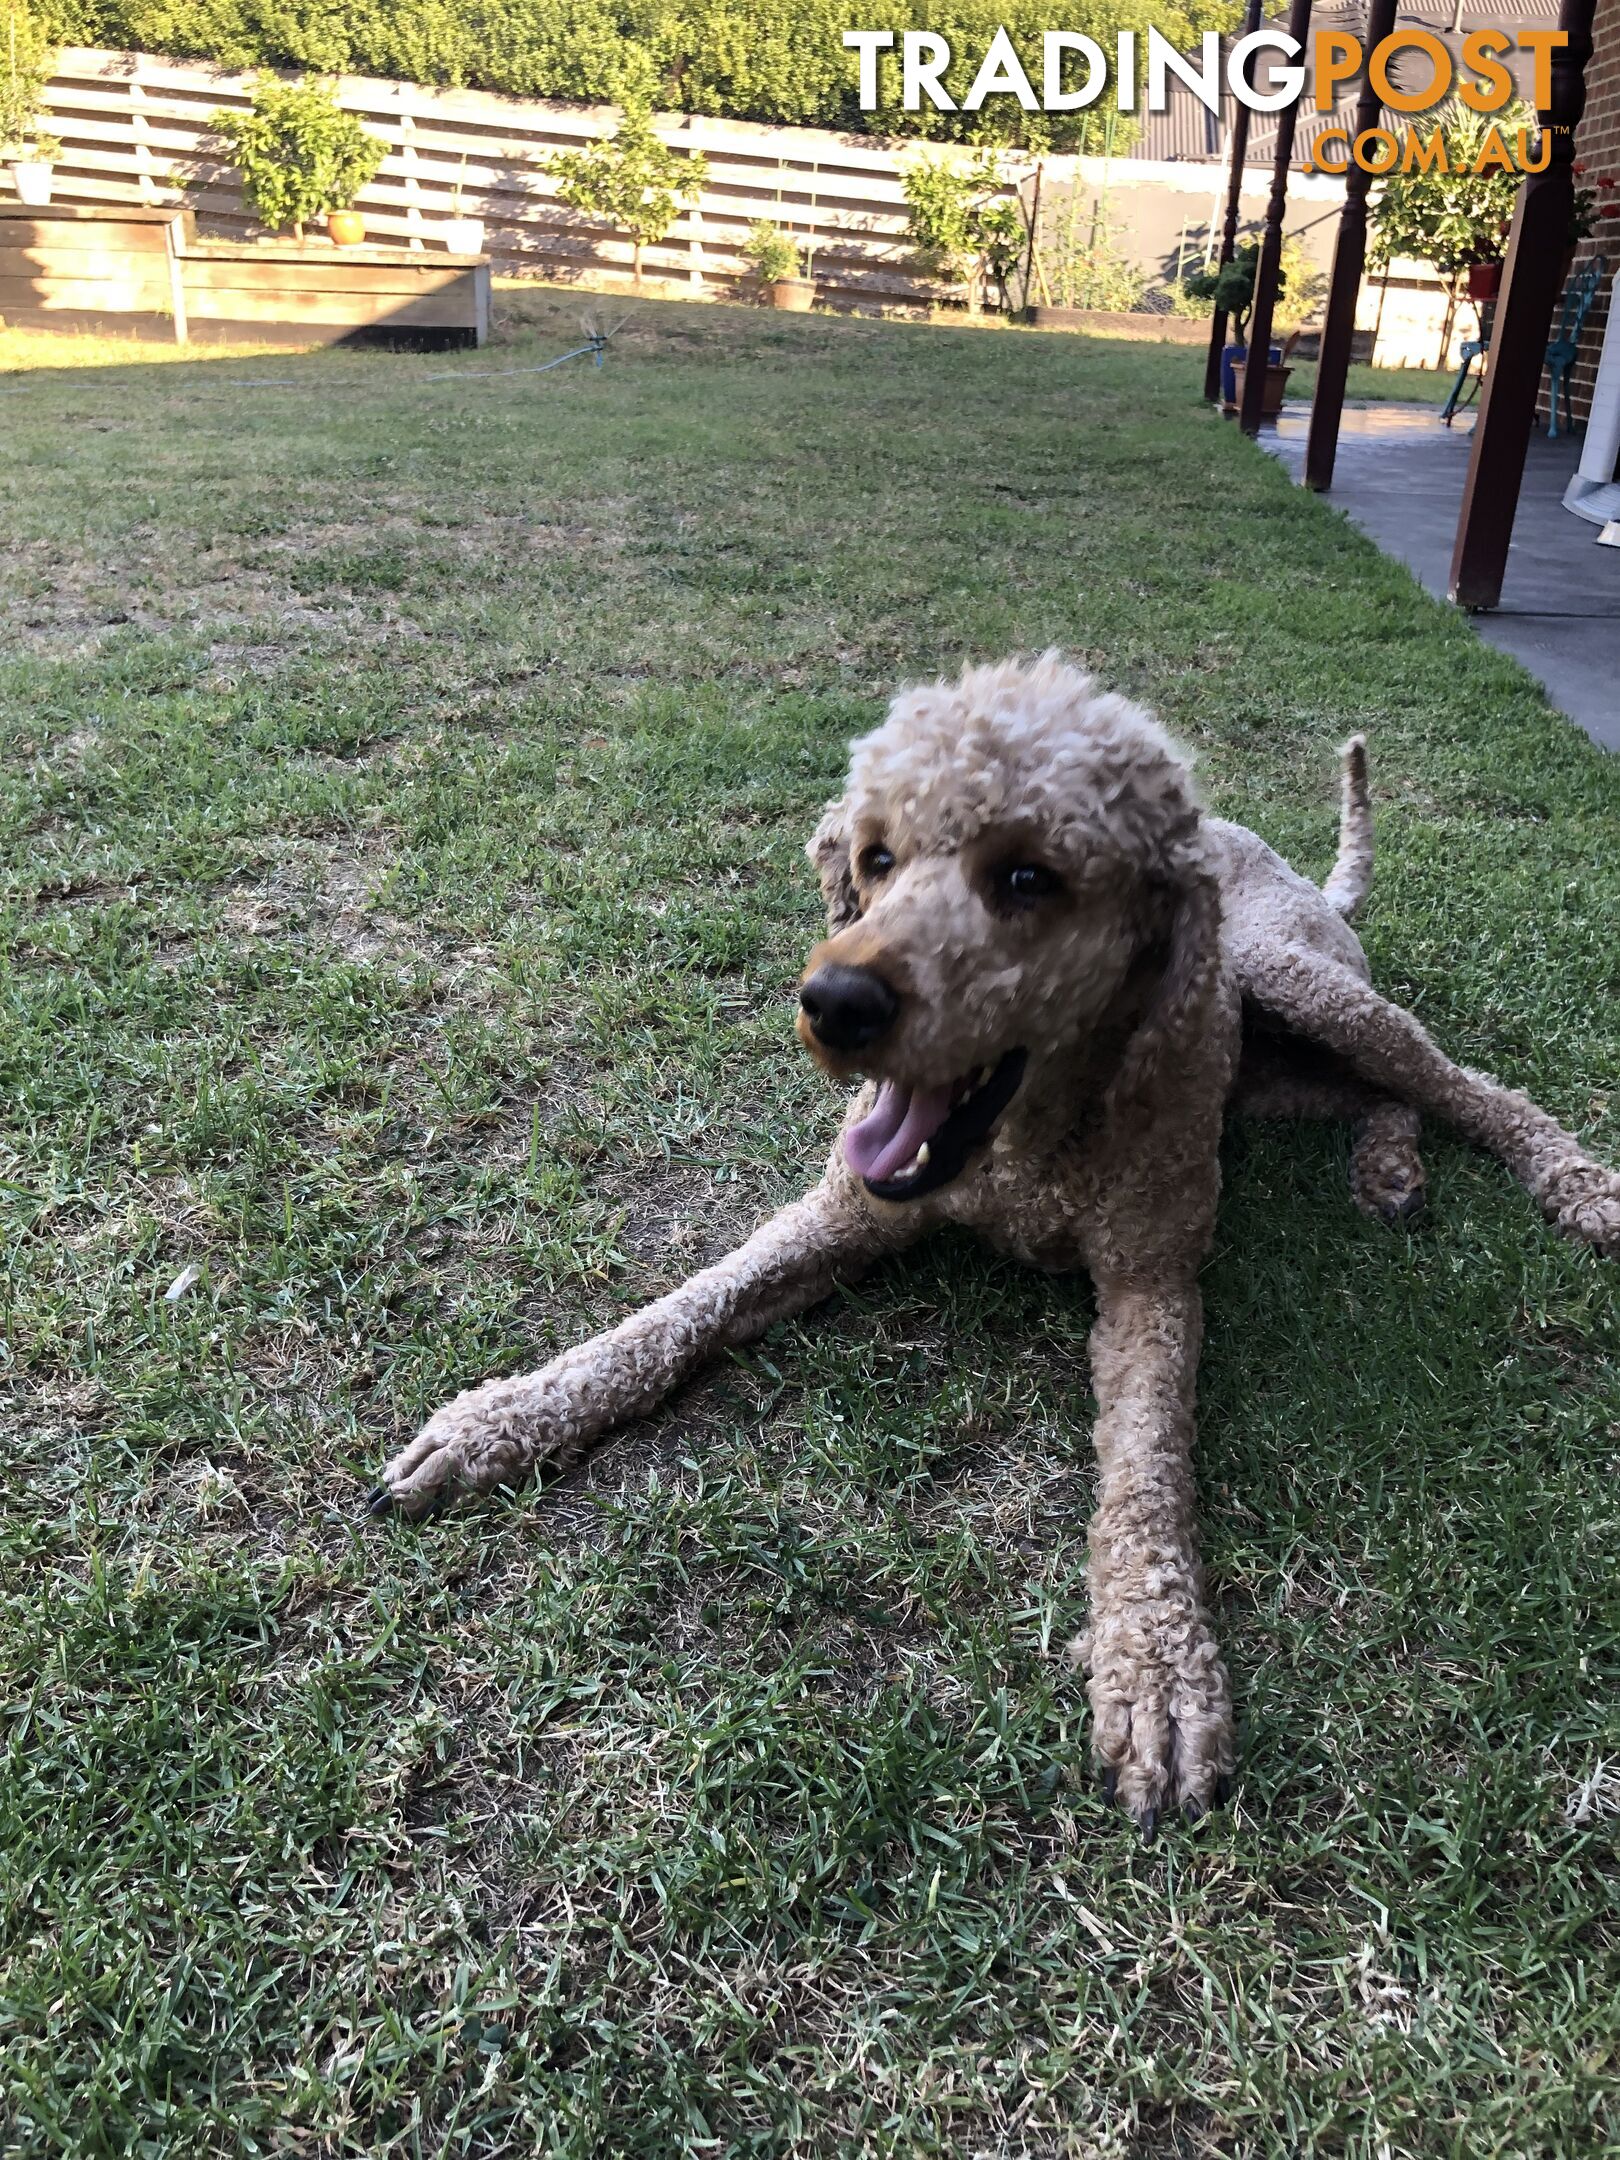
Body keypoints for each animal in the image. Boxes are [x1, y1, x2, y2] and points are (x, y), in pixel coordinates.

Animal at [371, 652, 1620, 1823]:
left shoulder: (1152, 1285)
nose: (836, 1004)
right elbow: (681, 1310)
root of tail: (1289, 870)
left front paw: (1158, 1674)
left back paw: (1571, 1181)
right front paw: (501, 1420)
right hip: (1266, 1071)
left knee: (1464, 1087)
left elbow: (1145, 1483)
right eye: (875, 859)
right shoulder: (841, 1215)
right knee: (1379, 1097)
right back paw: (1391, 1166)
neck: (1024, 1147)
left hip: (1299, 983)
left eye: (1029, 877)